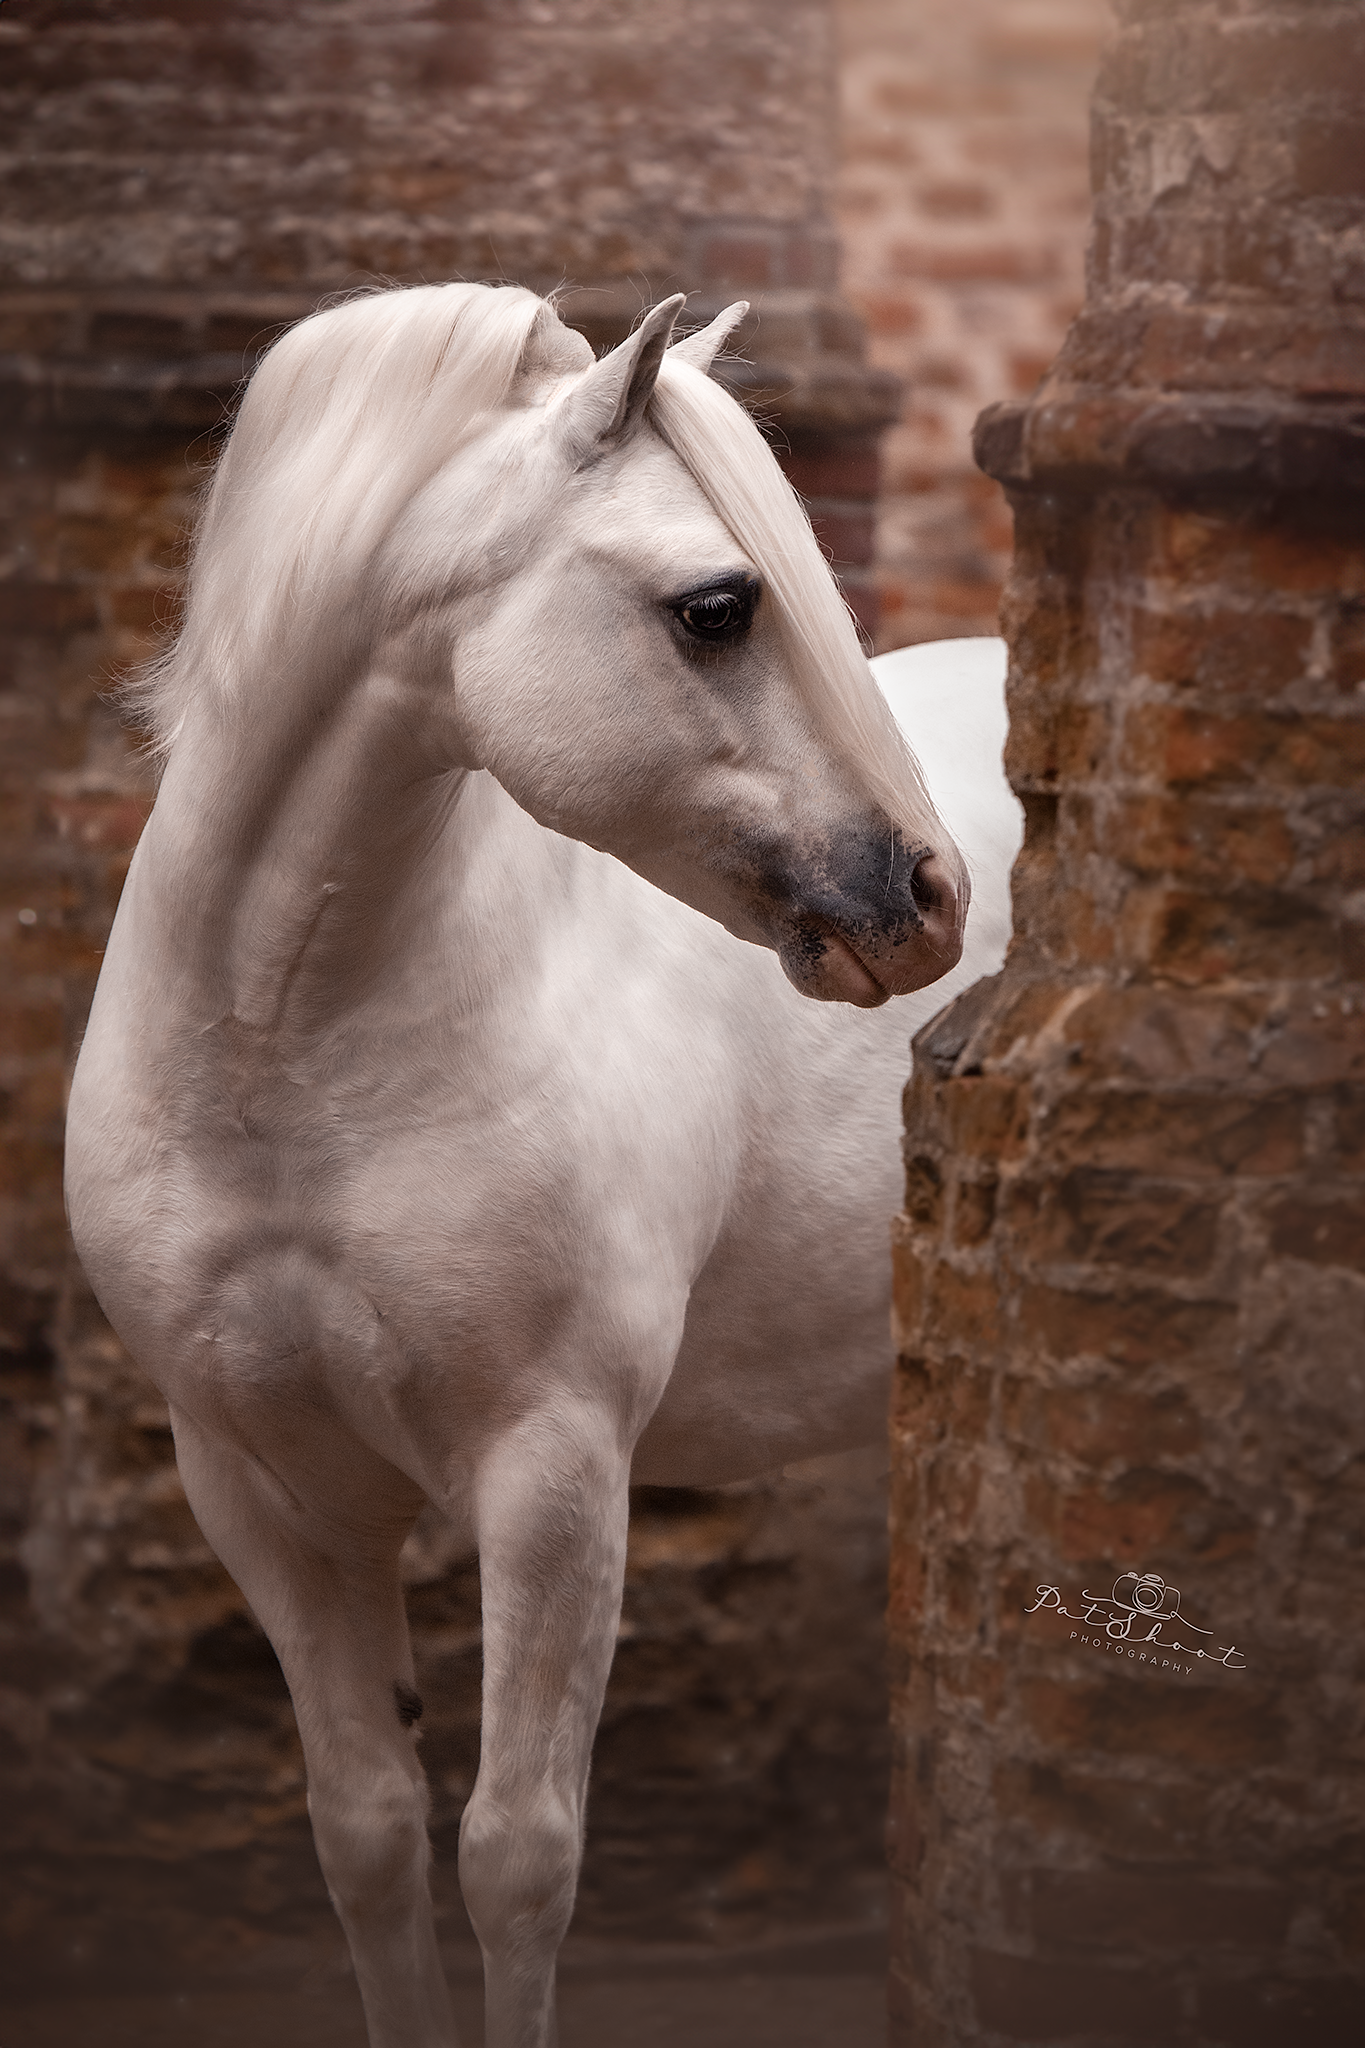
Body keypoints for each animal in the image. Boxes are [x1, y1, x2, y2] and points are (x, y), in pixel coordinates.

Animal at [64, 281, 1021, 2048]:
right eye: (717, 608)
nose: (923, 897)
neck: (289, 1050)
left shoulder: (554, 1471)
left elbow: (516, 1854)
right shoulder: (257, 1487)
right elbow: (367, 1833)